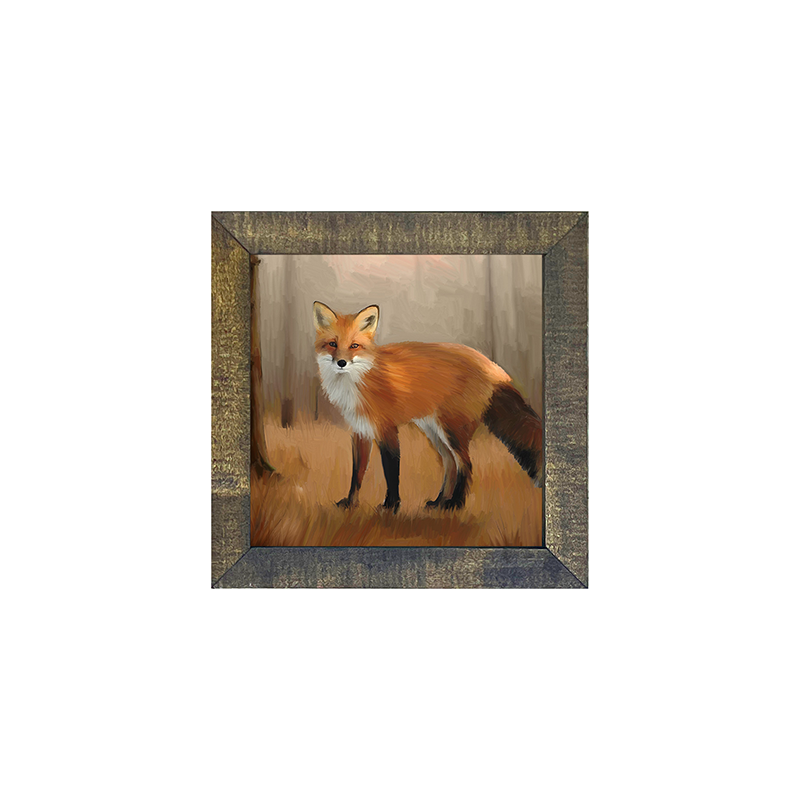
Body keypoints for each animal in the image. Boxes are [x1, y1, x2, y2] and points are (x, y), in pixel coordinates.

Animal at [313, 301, 543, 513]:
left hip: (452, 430)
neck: (358, 381)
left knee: (466, 464)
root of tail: (493, 366)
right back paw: (439, 502)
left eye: (354, 346)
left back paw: (455, 504)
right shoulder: (360, 431)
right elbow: (357, 474)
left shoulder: (387, 430)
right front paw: (350, 503)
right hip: (434, 431)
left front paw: (391, 506)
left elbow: (391, 471)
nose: (341, 363)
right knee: (450, 464)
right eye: (332, 344)